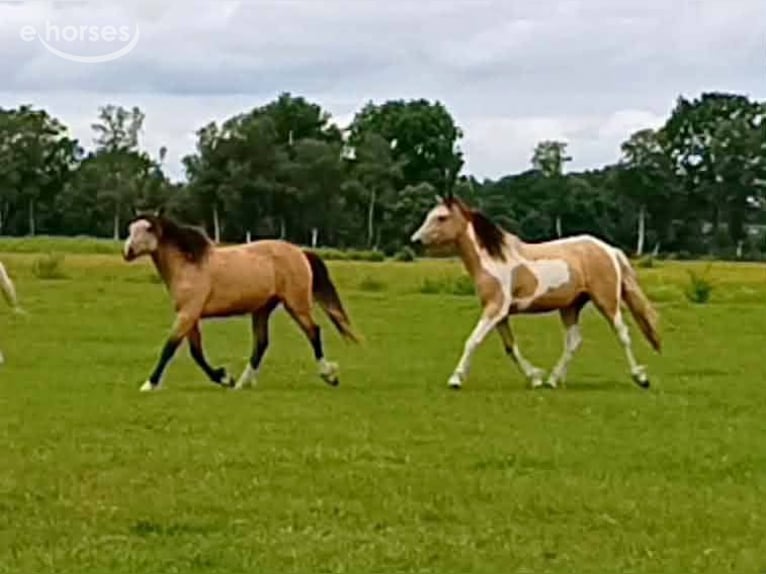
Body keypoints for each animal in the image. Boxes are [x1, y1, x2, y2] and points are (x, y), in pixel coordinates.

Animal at [122, 212, 359, 392]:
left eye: (148, 229)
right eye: (130, 229)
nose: (127, 252)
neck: (190, 265)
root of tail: (300, 252)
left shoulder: (187, 314)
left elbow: (169, 348)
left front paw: (149, 384)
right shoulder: (191, 316)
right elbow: (196, 353)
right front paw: (224, 378)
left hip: (296, 304)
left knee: (313, 332)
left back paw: (329, 375)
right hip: (262, 309)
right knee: (261, 343)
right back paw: (243, 383)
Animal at [410, 195, 660, 390]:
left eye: (441, 217)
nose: (415, 240)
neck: (493, 260)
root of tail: (609, 250)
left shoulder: (495, 309)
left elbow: (473, 341)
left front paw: (455, 379)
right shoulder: (500, 313)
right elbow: (510, 347)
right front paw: (535, 378)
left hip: (606, 301)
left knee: (622, 334)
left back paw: (641, 378)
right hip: (570, 306)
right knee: (573, 341)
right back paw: (553, 380)